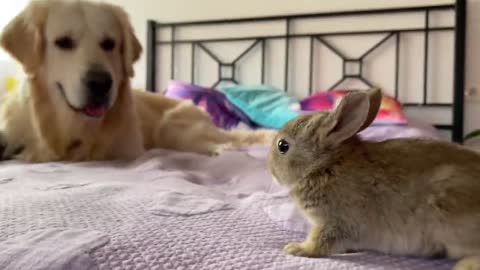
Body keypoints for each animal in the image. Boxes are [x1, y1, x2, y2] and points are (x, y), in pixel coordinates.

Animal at [0, 0, 276, 162]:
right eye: (63, 42)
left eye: (109, 43)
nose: (100, 83)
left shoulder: (128, 151)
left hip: (174, 127)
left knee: (222, 144)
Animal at [268, 88, 480, 270]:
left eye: (283, 146)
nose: (270, 170)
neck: (325, 165)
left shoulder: (334, 222)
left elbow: (319, 243)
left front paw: (296, 248)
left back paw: (465, 265)